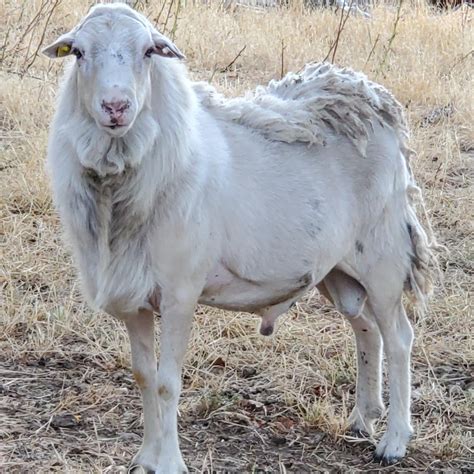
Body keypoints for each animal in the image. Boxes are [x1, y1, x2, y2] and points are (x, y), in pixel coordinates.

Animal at [42, 2, 438, 470]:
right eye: (79, 52)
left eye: (148, 52)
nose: (116, 107)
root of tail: (371, 98)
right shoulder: (135, 296)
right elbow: (143, 377)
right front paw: (145, 458)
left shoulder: (179, 292)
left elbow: (167, 382)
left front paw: (170, 462)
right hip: (337, 270)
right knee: (366, 328)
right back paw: (363, 417)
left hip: (383, 258)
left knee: (399, 338)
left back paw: (394, 441)